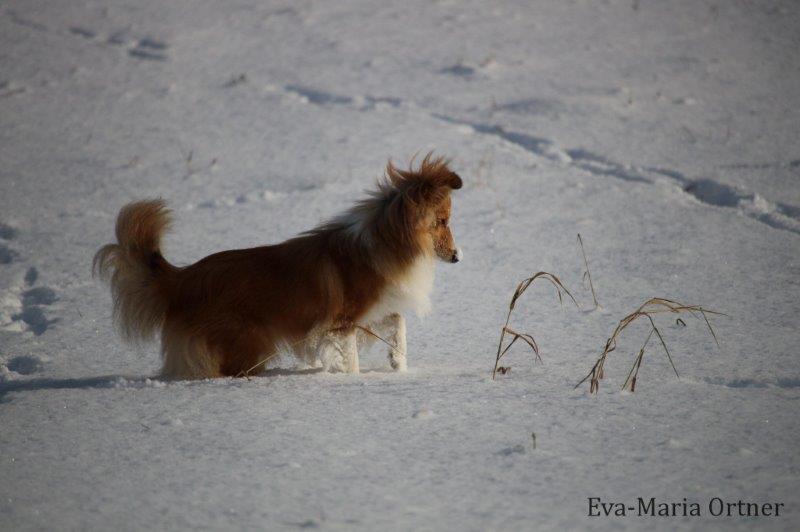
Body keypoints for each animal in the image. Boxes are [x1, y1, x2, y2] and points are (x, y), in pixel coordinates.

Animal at [93, 154, 462, 379]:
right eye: (442, 221)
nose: (458, 257)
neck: (386, 242)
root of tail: (184, 277)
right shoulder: (341, 323)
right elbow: (352, 356)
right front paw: (353, 382)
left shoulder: (370, 312)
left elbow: (398, 321)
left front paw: (398, 362)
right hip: (249, 341)